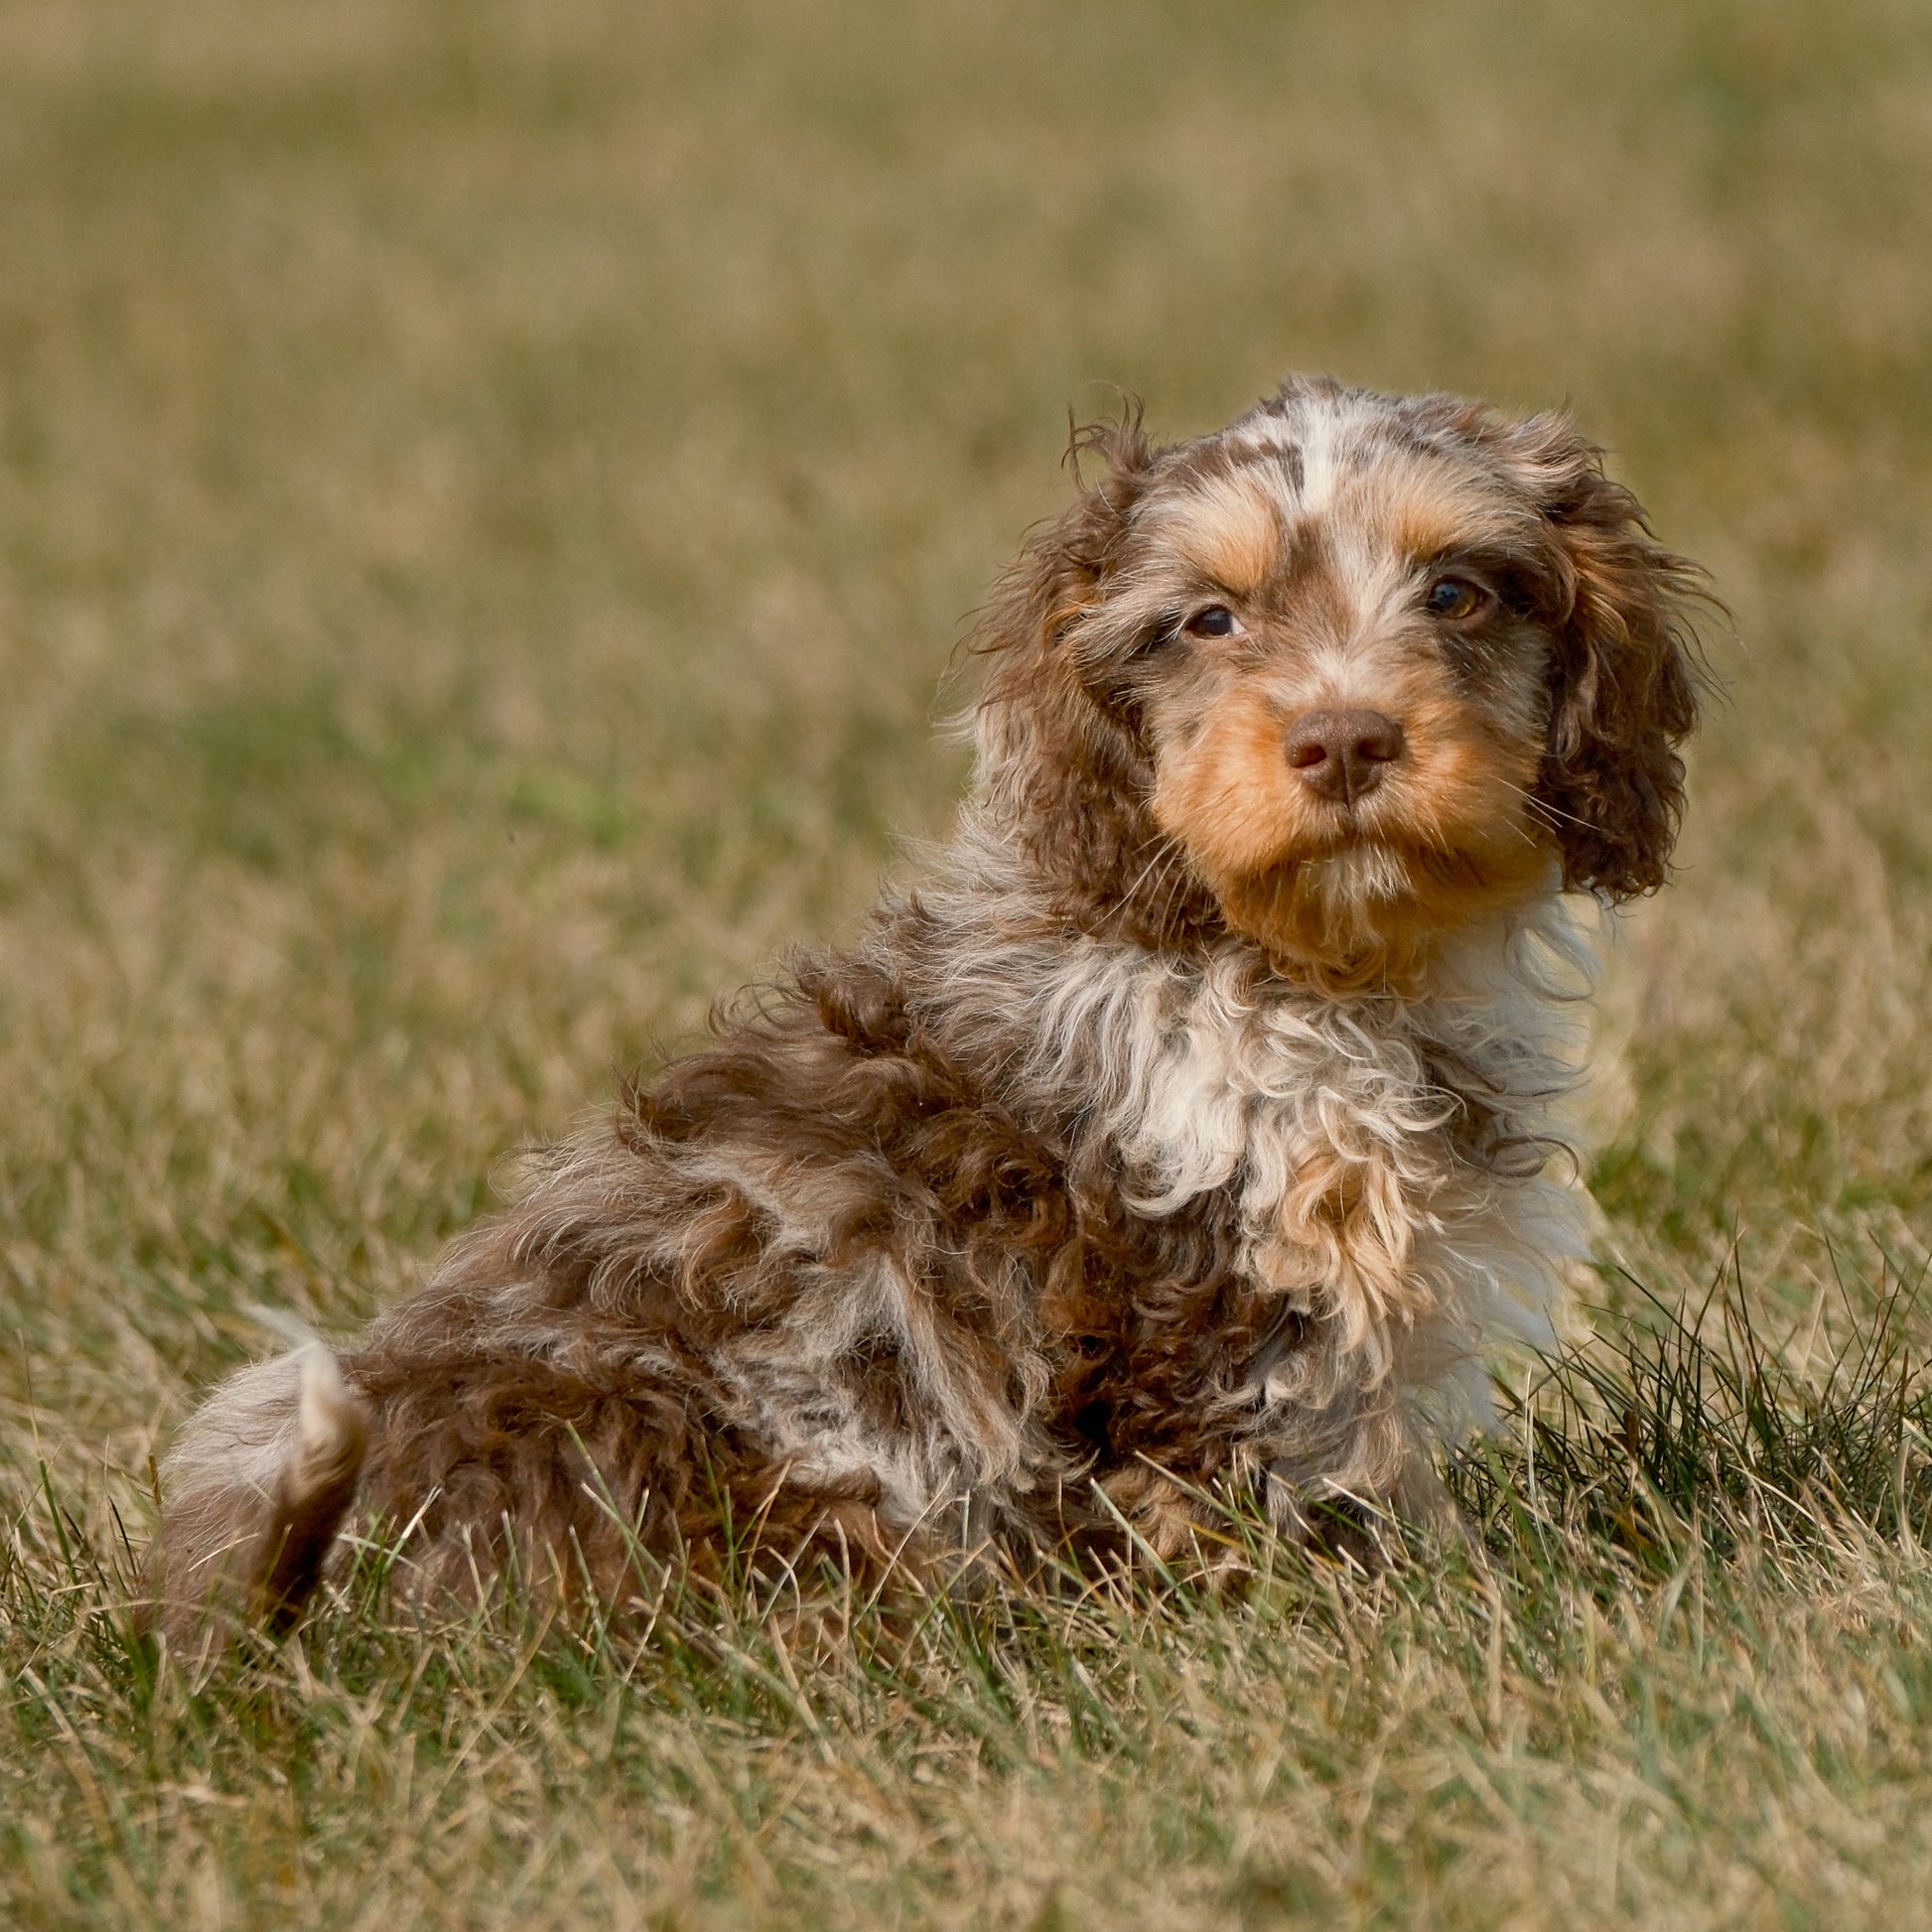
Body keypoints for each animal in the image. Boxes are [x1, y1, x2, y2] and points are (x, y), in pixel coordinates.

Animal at [150, 376, 1700, 1645]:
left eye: (1458, 595)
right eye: (1207, 619)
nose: (1342, 739)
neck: (1301, 967)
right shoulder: (1212, 1309)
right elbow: (1278, 1489)